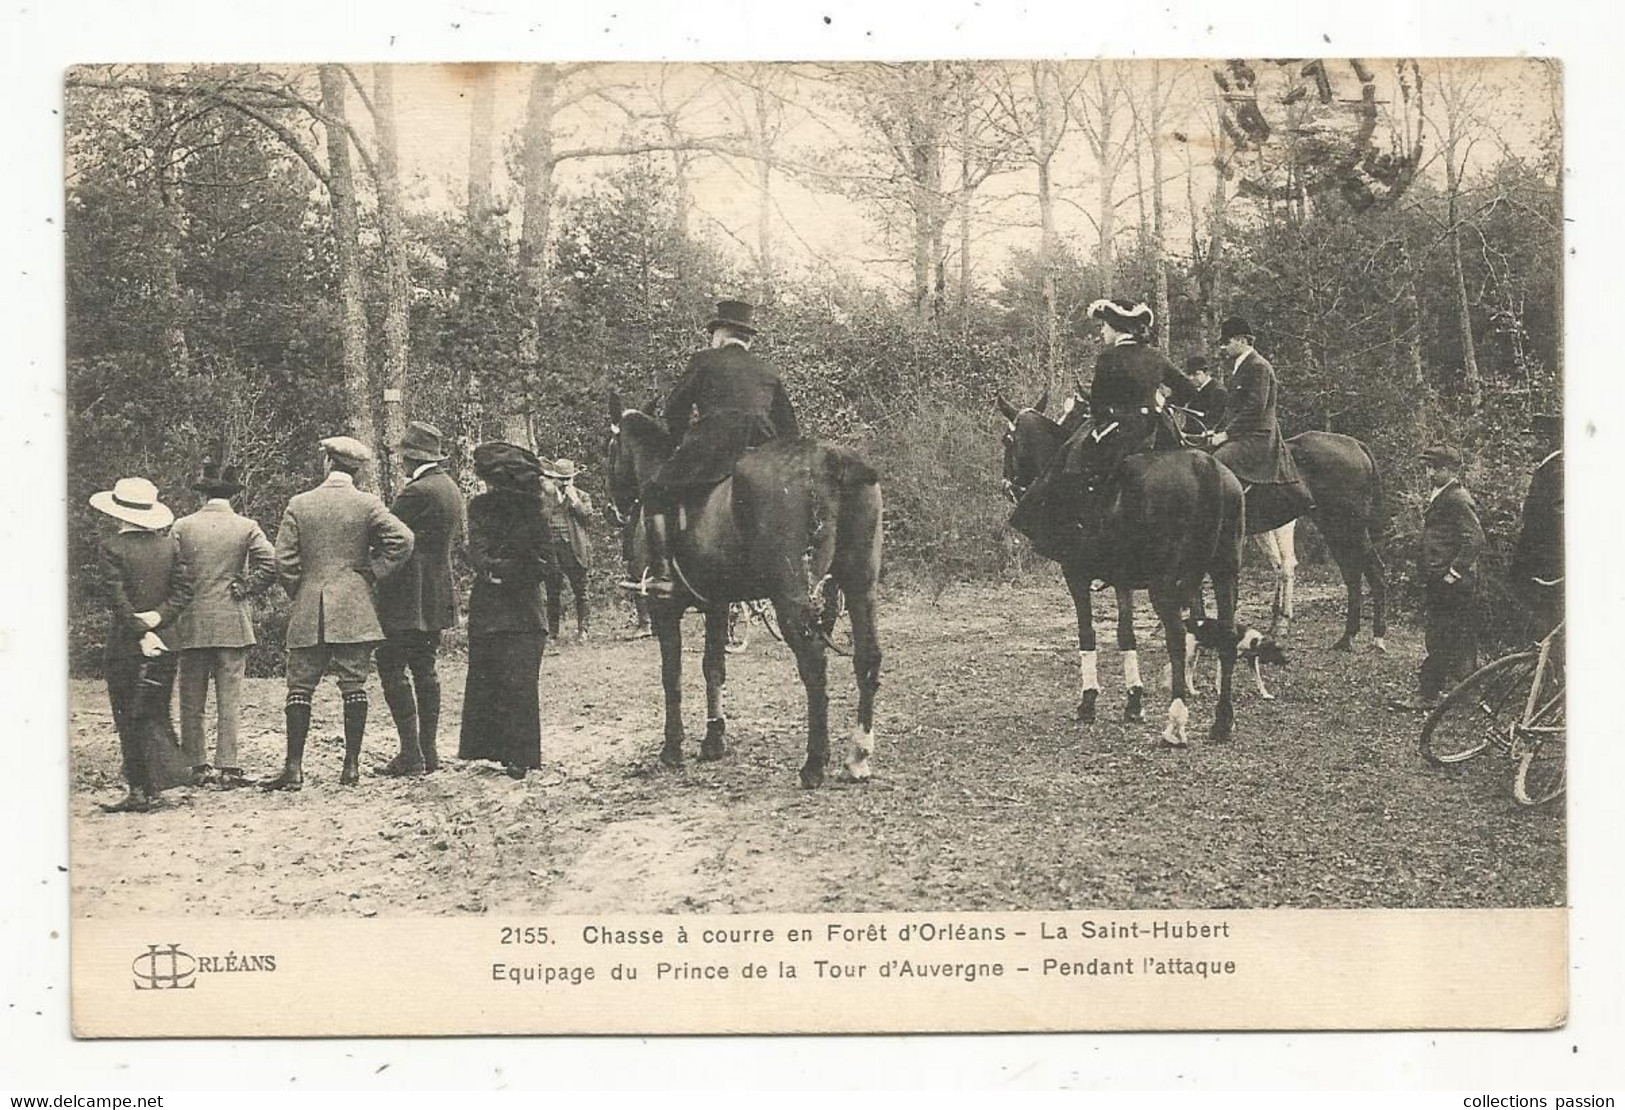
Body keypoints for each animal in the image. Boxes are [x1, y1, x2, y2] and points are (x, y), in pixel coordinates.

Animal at [604, 394, 884, 786]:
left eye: (610, 448)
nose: (615, 509)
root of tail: (833, 460)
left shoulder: (665, 611)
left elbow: (672, 676)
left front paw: (672, 747)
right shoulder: (717, 605)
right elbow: (713, 667)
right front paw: (713, 740)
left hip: (791, 597)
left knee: (814, 665)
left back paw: (814, 763)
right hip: (860, 586)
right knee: (867, 658)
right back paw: (858, 756)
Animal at [988, 393, 1241, 747]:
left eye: (1006, 440)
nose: (1008, 486)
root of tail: (1207, 468)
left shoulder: (1075, 575)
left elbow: (1087, 633)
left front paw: (1088, 702)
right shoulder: (1123, 581)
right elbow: (1126, 635)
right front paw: (1133, 700)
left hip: (1164, 585)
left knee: (1177, 638)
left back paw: (1175, 724)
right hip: (1224, 574)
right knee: (1227, 636)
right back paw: (1222, 722)